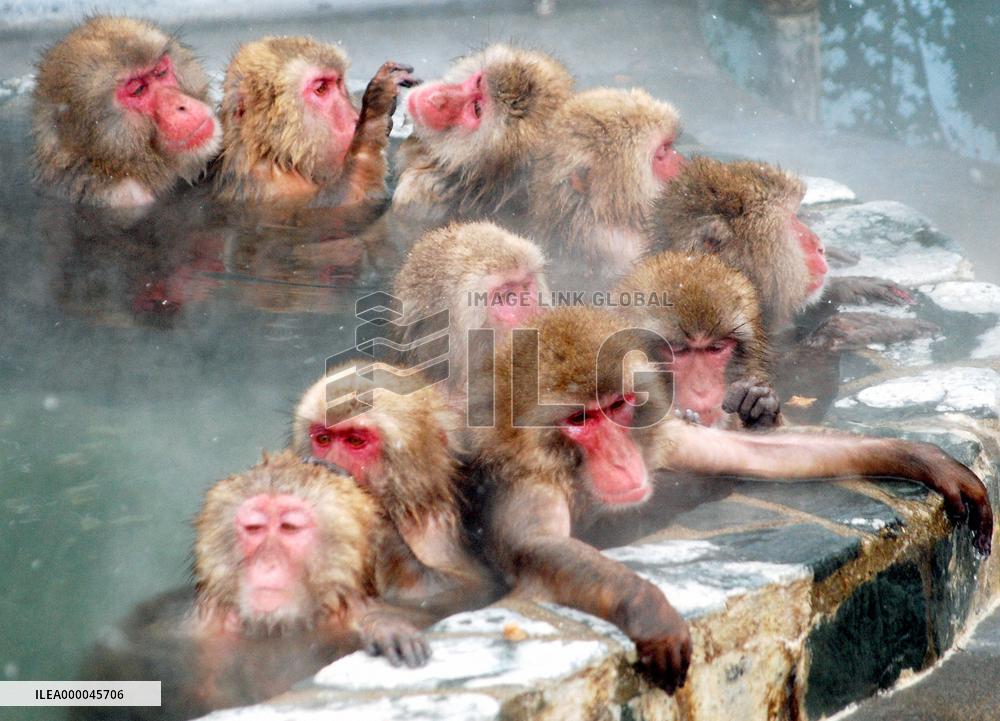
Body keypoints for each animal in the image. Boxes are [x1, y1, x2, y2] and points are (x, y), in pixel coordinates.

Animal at [213, 36, 417, 208]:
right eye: (321, 89)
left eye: (338, 82)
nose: (353, 119)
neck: (276, 156)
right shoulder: (274, 185)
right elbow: (339, 200)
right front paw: (374, 116)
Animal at [469, 305, 992, 693]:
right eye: (579, 420)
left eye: (617, 406)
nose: (620, 460)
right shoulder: (529, 481)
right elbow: (535, 547)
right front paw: (646, 605)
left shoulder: (661, 435)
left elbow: (758, 454)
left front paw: (926, 459)